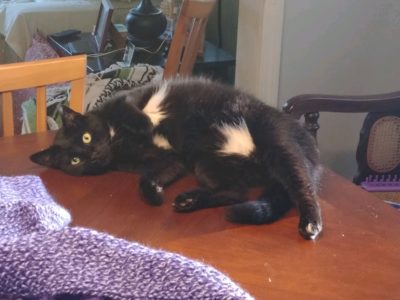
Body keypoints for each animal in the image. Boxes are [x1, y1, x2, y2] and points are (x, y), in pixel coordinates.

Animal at [32, 77, 324, 239]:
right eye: (74, 161)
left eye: (85, 138)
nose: (91, 154)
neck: (117, 141)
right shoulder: (168, 160)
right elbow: (147, 178)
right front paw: (154, 194)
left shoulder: (128, 97)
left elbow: (129, 108)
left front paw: (145, 122)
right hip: (207, 162)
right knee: (235, 191)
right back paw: (188, 201)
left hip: (276, 141)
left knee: (304, 185)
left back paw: (311, 223)